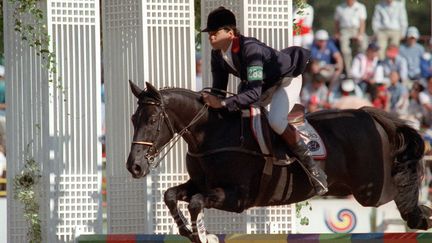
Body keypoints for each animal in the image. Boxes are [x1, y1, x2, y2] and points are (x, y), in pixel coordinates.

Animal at [126, 81, 430, 243]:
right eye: (132, 119)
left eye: (152, 120)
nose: (134, 166)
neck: (210, 134)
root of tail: (367, 114)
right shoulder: (200, 183)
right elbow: (171, 195)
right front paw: (188, 232)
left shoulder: (237, 197)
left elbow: (197, 202)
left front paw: (201, 234)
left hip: (371, 191)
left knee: (400, 185)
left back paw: (420, 215)